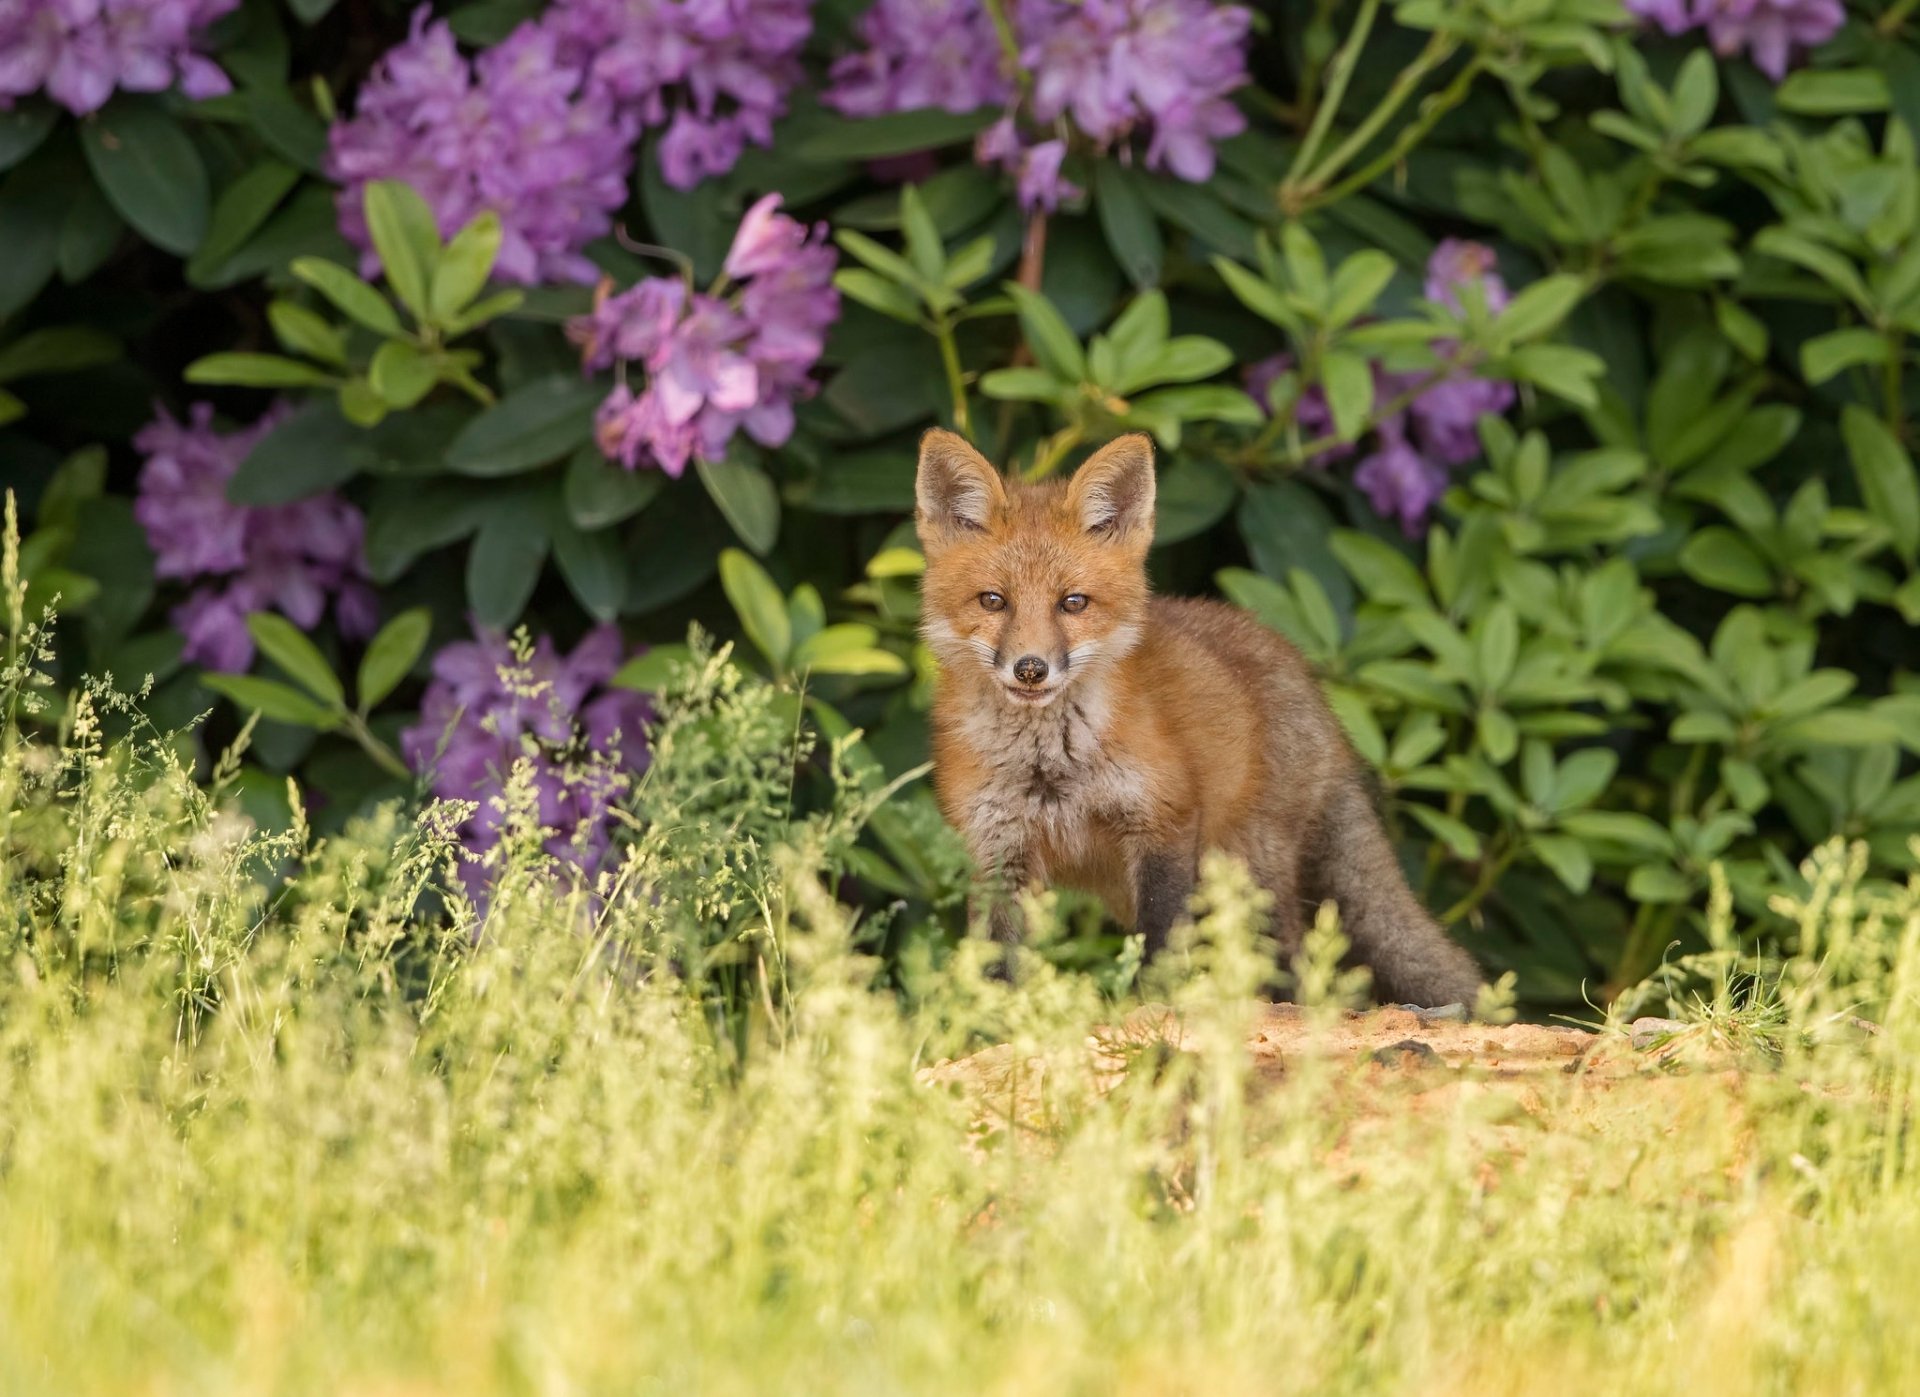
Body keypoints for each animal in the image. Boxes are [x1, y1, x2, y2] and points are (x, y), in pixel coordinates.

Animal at [914, 428, 1486, 1009]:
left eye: (1073, 602)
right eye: (993, 600)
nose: (1031, 669)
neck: (1049, 768)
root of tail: (1309, 680)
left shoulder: (1164, 820)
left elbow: (1159, 943)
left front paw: (1149, 1008)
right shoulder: (996, 851)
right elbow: (995, 969)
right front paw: (990, 1023)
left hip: (1247, 876)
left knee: (1289, 971)